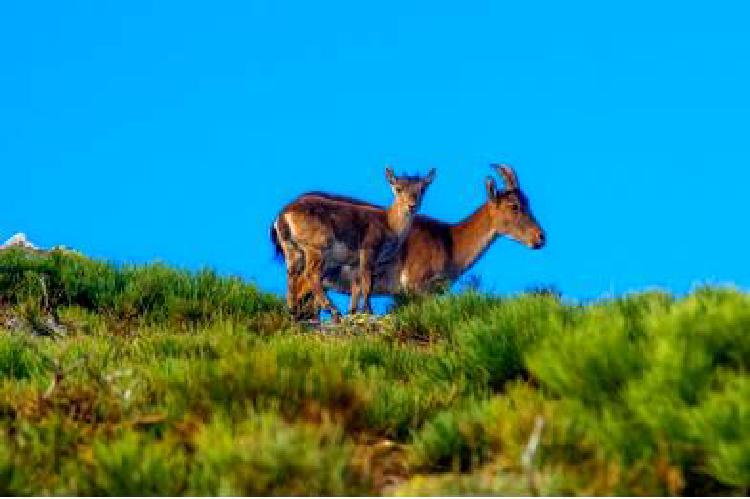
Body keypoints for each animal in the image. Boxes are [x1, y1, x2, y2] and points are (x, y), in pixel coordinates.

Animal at [272, 166, 434, 318]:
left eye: (422, 189)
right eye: (398, 188)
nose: (412, 206)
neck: (389, 223)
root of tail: (283, 216)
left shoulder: (354, 263)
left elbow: (356, 287)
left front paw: (353, 312)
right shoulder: (368, 250)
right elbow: (367, 284)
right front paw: (368, 311)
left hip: (291, 249)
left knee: (291, 274)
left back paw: (293, 311)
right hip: (317, 247)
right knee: (311, 274)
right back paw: (333, 310)